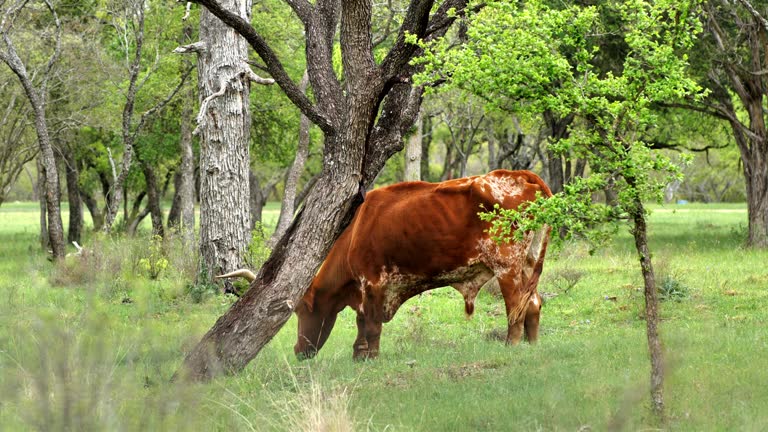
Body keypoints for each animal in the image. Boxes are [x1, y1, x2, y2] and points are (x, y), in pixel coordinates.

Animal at [222, 170, 552, 360]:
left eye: (303, 312)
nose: (298, 351)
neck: (354, 231)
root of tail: (522, 175)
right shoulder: (366, 289)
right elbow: (362, 322)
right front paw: (358, 355)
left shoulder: (374, 282)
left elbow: (372, 326)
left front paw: (371, 357)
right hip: (528, 262)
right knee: (533, 303)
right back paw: (533, 347)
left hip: (507, 266)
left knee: (515, 307)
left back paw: (512, 347)